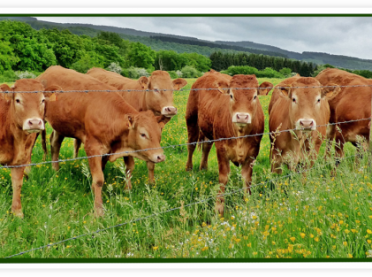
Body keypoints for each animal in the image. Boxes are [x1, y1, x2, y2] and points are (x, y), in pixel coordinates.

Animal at [0, 78, 56, 217]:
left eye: (42, 100)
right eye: (18, 100)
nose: (35, 122)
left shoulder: (21, 160)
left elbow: (17, 184)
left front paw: (17, 212)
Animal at [36, 67, 167, 216]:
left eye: (159, 134)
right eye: (143, 134)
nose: (160, 156)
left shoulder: (106, 150)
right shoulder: (92, 148)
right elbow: (98, 179)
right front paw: (98, 210)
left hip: (61, 126)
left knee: (55, 144)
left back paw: (55, 169)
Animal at [185, 72, 270, 215]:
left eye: (254, 96)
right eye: (231, 95)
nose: (242, 116)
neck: (240, 135)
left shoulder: (253, 152)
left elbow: (247, 179)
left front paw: (247, 203)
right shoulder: (221, 149)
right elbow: (223, 178)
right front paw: (219, 208)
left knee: (206, 146)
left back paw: (203, 167)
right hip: (191, 119)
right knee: (191, 145)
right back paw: (189, 168)